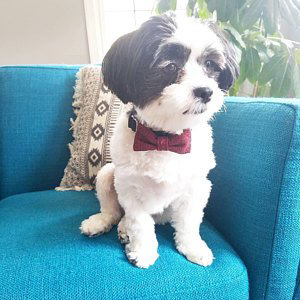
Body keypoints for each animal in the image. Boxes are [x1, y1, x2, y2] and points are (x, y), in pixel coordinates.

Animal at [79, 12, 239, 268]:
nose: (206, 91)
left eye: (210, 65)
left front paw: (193, 247)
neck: (164, 137)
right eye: (170, 66)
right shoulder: (129, 188)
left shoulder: (196, 186)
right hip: (107, 174)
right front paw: (143, 251)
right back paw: (102, 223)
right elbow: (140, 224)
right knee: (113, 211)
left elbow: (189, 223)